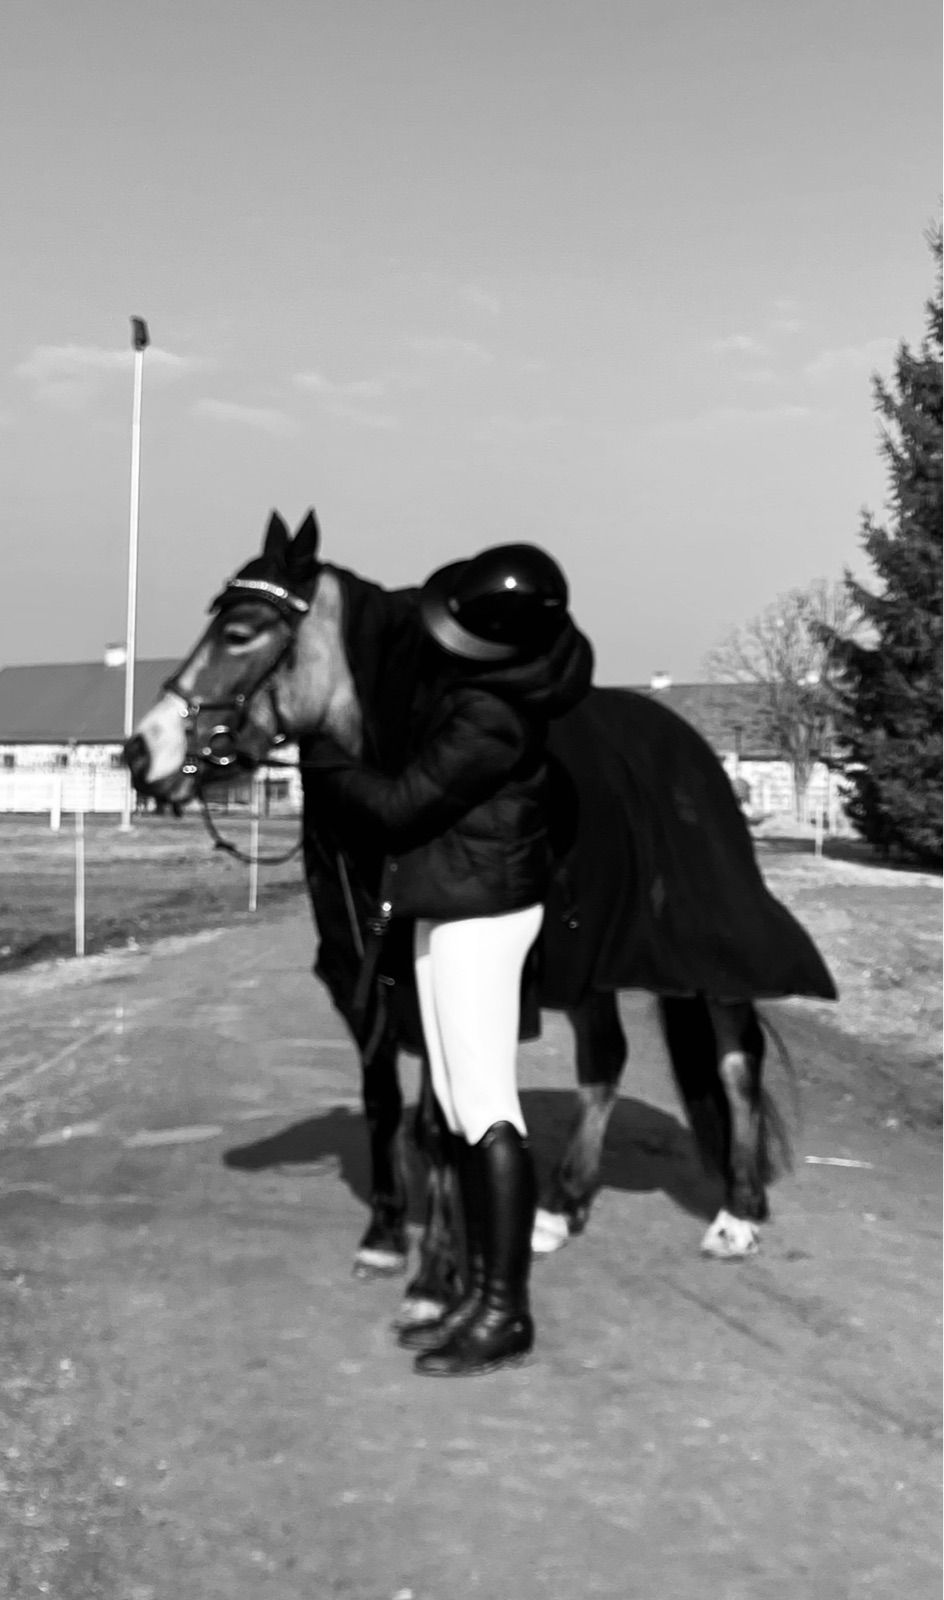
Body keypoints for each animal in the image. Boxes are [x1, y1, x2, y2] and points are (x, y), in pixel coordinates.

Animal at [125, 509, 836, 1323]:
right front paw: (384, 1237)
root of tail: (695, 753)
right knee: (605, 1061)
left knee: (736, 1063)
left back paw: (737, 1215)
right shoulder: (364, 989)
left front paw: (435, 1280)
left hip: (712, 961)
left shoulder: (434, 980)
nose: (140, 752)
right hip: (588, 966)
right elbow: (382, 1107)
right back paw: (560, 1208)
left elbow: (437, 1125)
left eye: (241, 631)